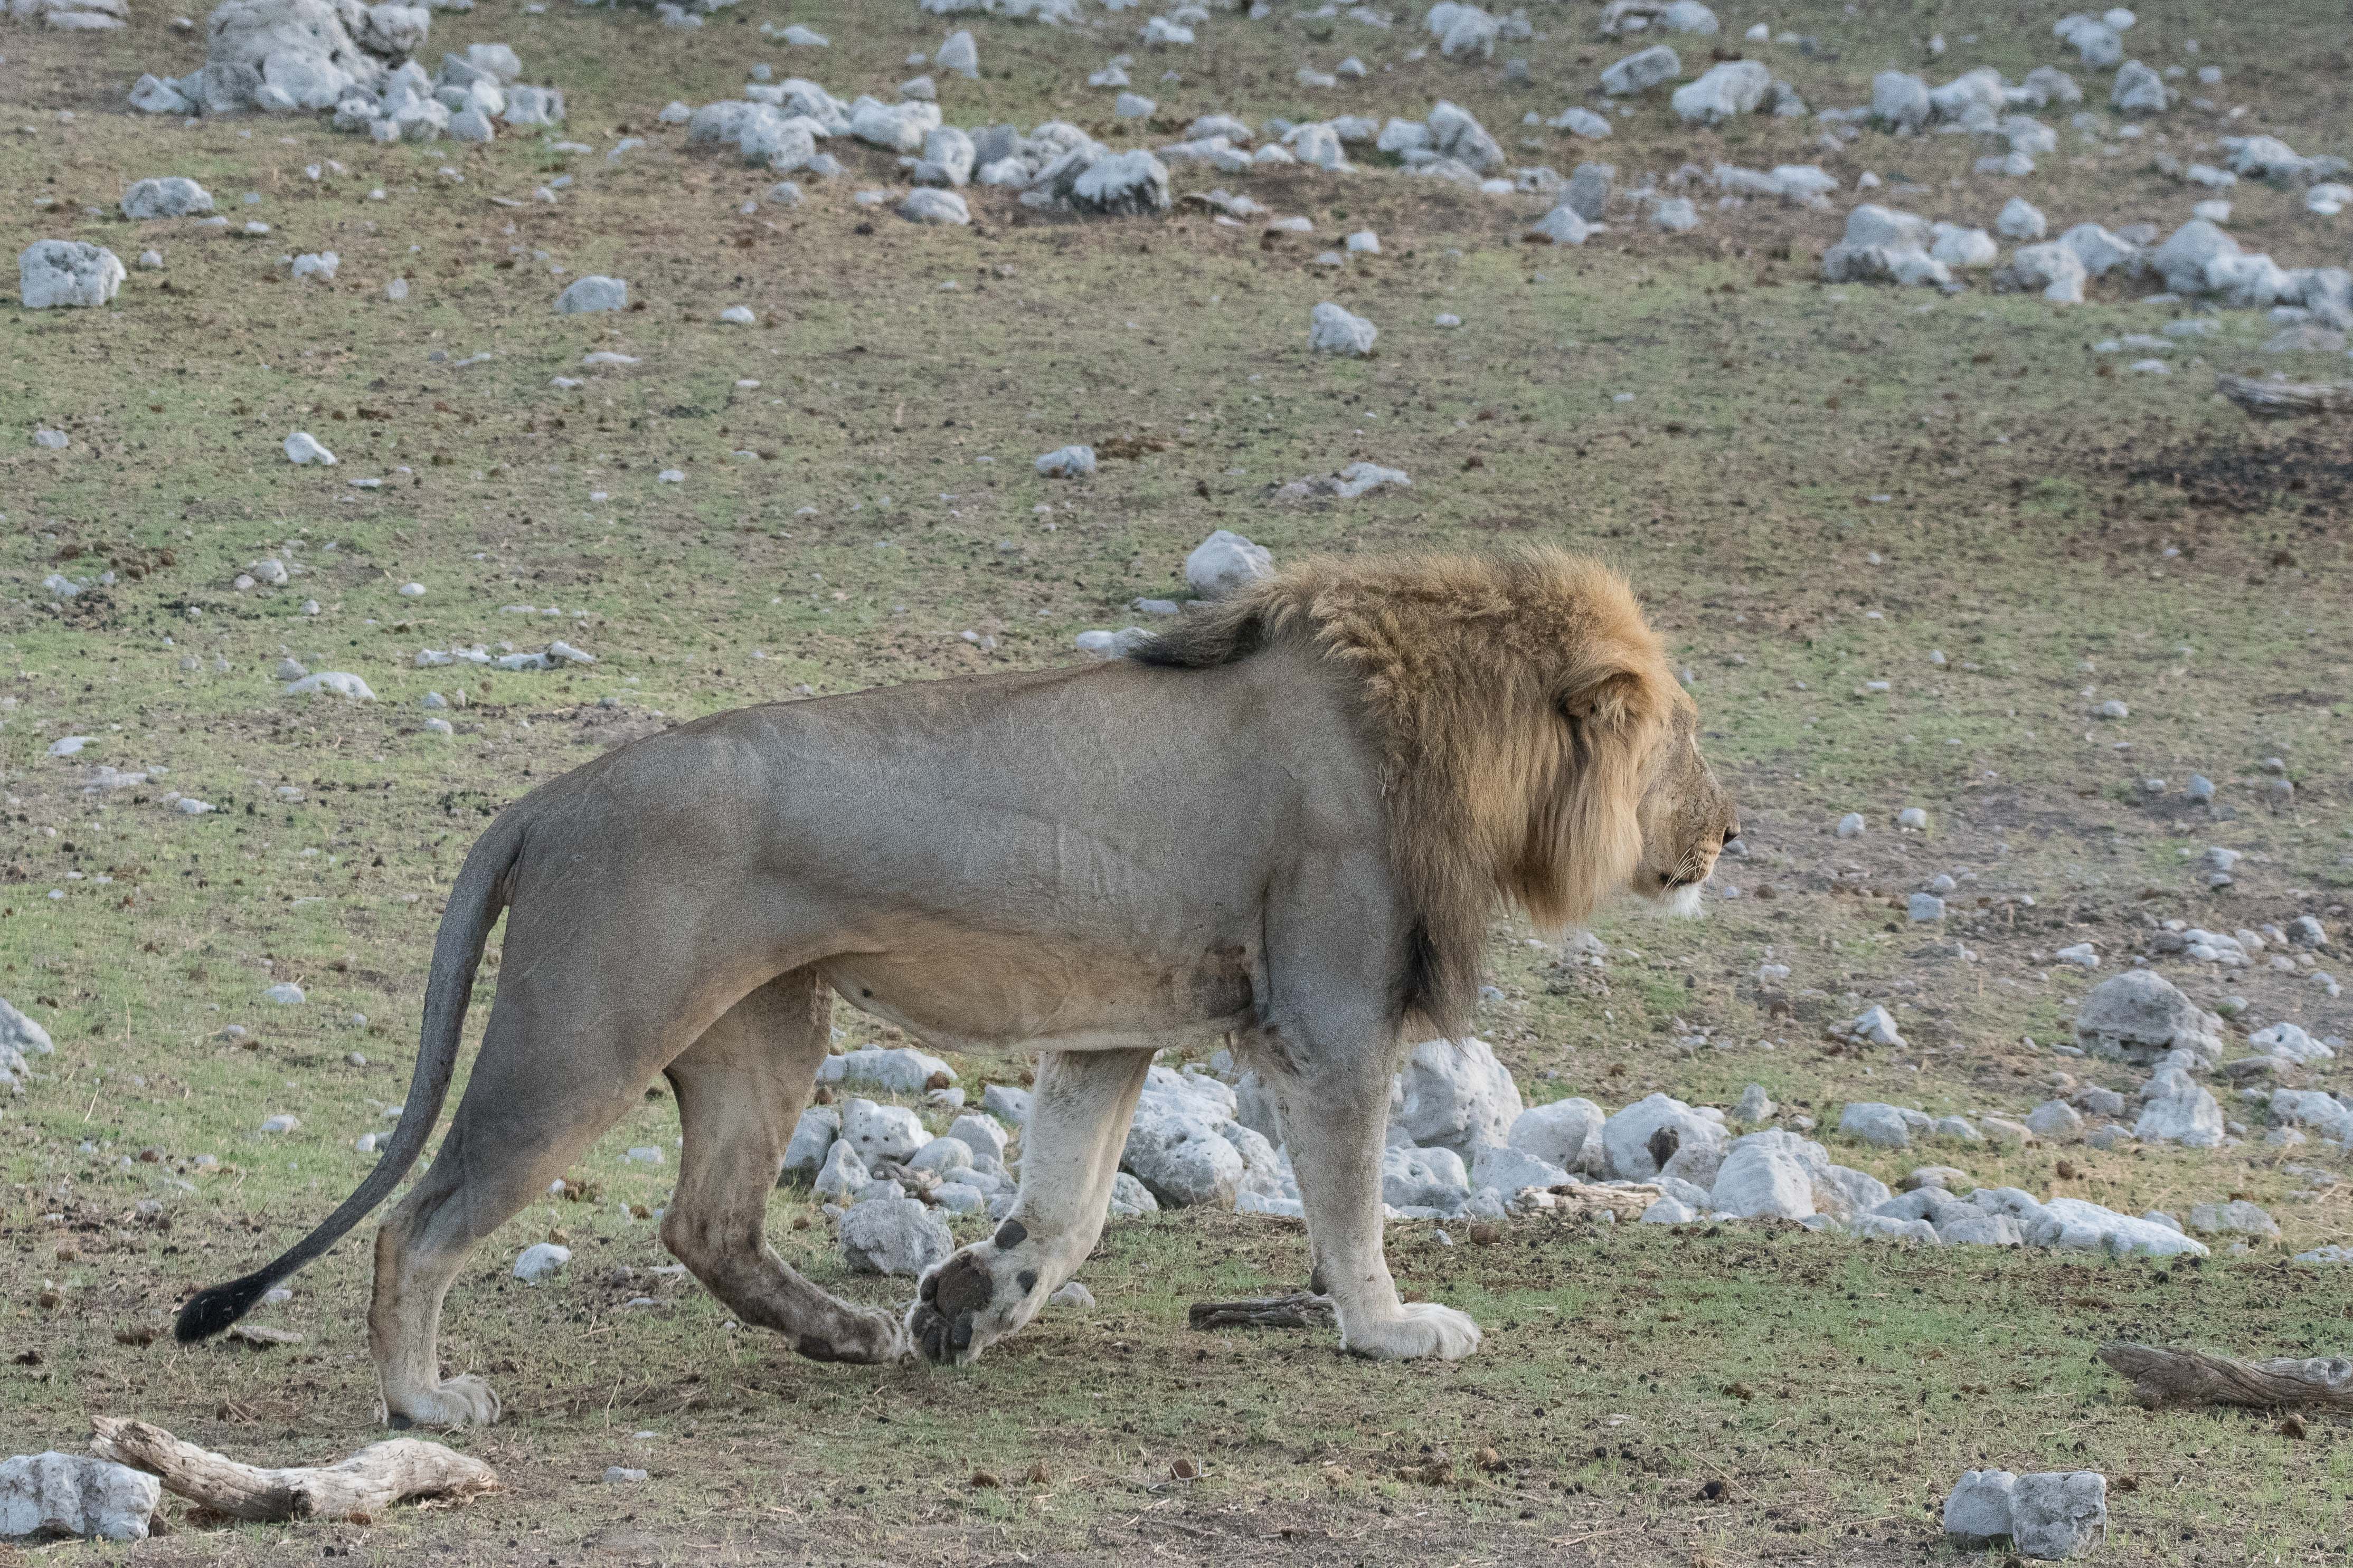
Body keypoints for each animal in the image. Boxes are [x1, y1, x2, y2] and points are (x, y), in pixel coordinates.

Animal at [178, 545, 1732, 1429]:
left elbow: (1071, 1201)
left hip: (762, 1031)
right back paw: (423, 1403)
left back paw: (851, 1335)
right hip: (584, 1034)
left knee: (704, 1222)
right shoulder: (1331, 1022)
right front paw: (1391, 1330)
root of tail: (549, 797)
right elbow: (1346, 1206)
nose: (1726, 834)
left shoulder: (1111, 1028)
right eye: (1680, 738)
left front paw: (965, 1305)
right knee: (422, 1222)